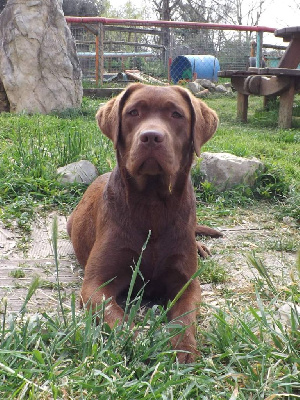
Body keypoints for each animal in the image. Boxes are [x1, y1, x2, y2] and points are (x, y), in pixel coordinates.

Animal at [68, 83, 221, 362]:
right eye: (133, 112)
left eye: (176, 114)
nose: (151, 137)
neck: (153, 205)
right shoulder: (96, 284)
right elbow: (115, 317)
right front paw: (136, 341)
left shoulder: (187, 283)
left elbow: (185, 317)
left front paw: (183, 348)